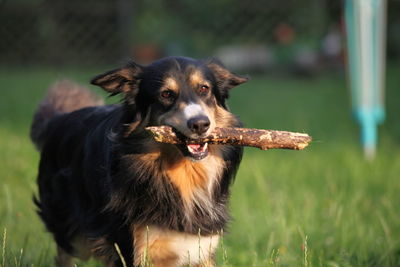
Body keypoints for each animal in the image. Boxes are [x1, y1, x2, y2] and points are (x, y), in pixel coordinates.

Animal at [31, 57, 248, 267]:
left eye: (204, 88)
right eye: (166, 94)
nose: (200, 124)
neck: (182, 175)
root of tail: (58, 119)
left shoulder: (202, 247)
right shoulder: (131, 245)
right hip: (72, 233)